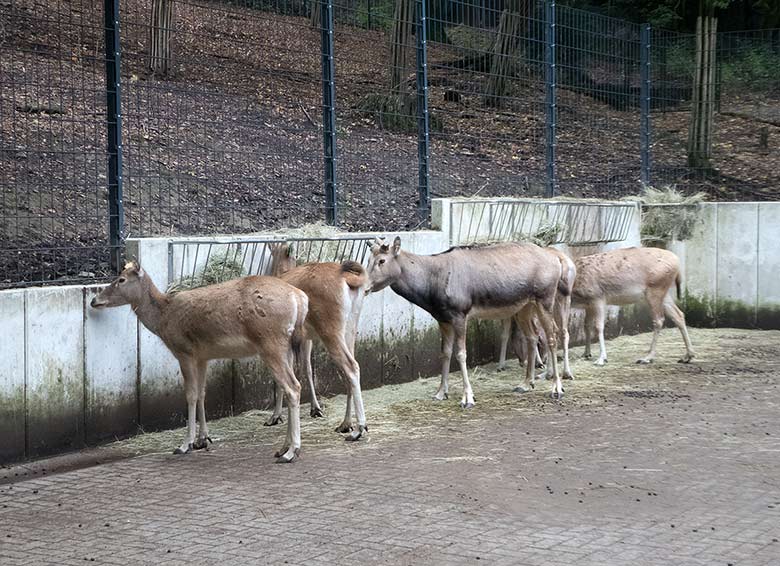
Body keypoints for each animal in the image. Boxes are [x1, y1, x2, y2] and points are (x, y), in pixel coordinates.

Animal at [90, 262, 310, 466]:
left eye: (121, 280)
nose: (94, 300)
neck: (163, 319)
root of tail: (300, 299)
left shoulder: (184, 352)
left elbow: (190, 394)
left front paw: (184, 444)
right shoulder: (203, 356)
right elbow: (202, 393)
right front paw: (202, 439)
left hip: (270, 342)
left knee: (293, 387)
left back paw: (292, 452)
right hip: (287, 346)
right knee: (291, 385)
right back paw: (282, 448)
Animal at [266, 242, 368, 442]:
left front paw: (275, 416)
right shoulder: (305, 338)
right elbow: (306, 367)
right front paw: (315, 408)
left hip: (330, 330)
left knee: (351, 366)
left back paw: (358, 428)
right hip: (350, 326)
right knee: (353, 366)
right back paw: (345, 424)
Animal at [366, 237, 568, 406]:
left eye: (382, 260)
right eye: (368, 260)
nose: (366, 286)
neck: (430, 290)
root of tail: (556, 260)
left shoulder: (459, 314)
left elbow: (461, 354)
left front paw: (467, 397)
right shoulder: (443, 319)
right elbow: (445, 353)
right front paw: (441, 393)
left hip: (545, 298)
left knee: (553, 335)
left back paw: (557, 388)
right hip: (525, 306)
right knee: (532, 336)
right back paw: (526, 383)